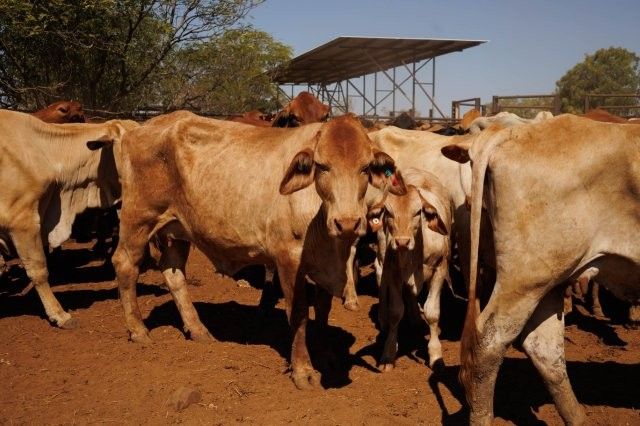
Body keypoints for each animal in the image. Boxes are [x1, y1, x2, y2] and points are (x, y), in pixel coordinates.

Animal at [103, 112, 405, 389]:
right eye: (322, 166)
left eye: (365, 168)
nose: (347, 222)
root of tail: (138, 129)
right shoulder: (288, 258)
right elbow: (299, 315)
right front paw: (303, 371)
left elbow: (322, 312)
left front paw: (326, 354)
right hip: (138, 218)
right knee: (125, 264)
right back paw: (139, 331)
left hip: (178, 228)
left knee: (173, 273)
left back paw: (199, 330)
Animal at [367, 168, 452, 372]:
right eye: (388, 212)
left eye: (417, 212)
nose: (402, 242)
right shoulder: (393, 272)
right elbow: (395, 312)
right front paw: (388, 353)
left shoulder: (440, 269)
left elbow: (432, 312)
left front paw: (435, 355)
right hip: (382, 253)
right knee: (380, 273)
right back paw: (383, 318)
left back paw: (414, 317)